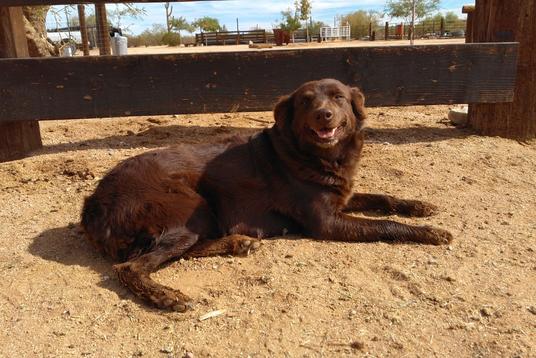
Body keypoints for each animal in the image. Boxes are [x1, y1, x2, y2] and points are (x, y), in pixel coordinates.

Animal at [81, 78, 452, 310]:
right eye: (306, 101)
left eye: (338, 98)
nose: (324, 115)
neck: (309, 155)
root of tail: (93, 205)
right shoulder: (327, 222)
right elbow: (386, 225)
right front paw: (431, 233)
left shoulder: (342, 196)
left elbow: (383, 198)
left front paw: (420, 206)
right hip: (190, 206)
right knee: (131, 267)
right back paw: (167, 297)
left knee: (183, 249)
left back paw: (238, 243)